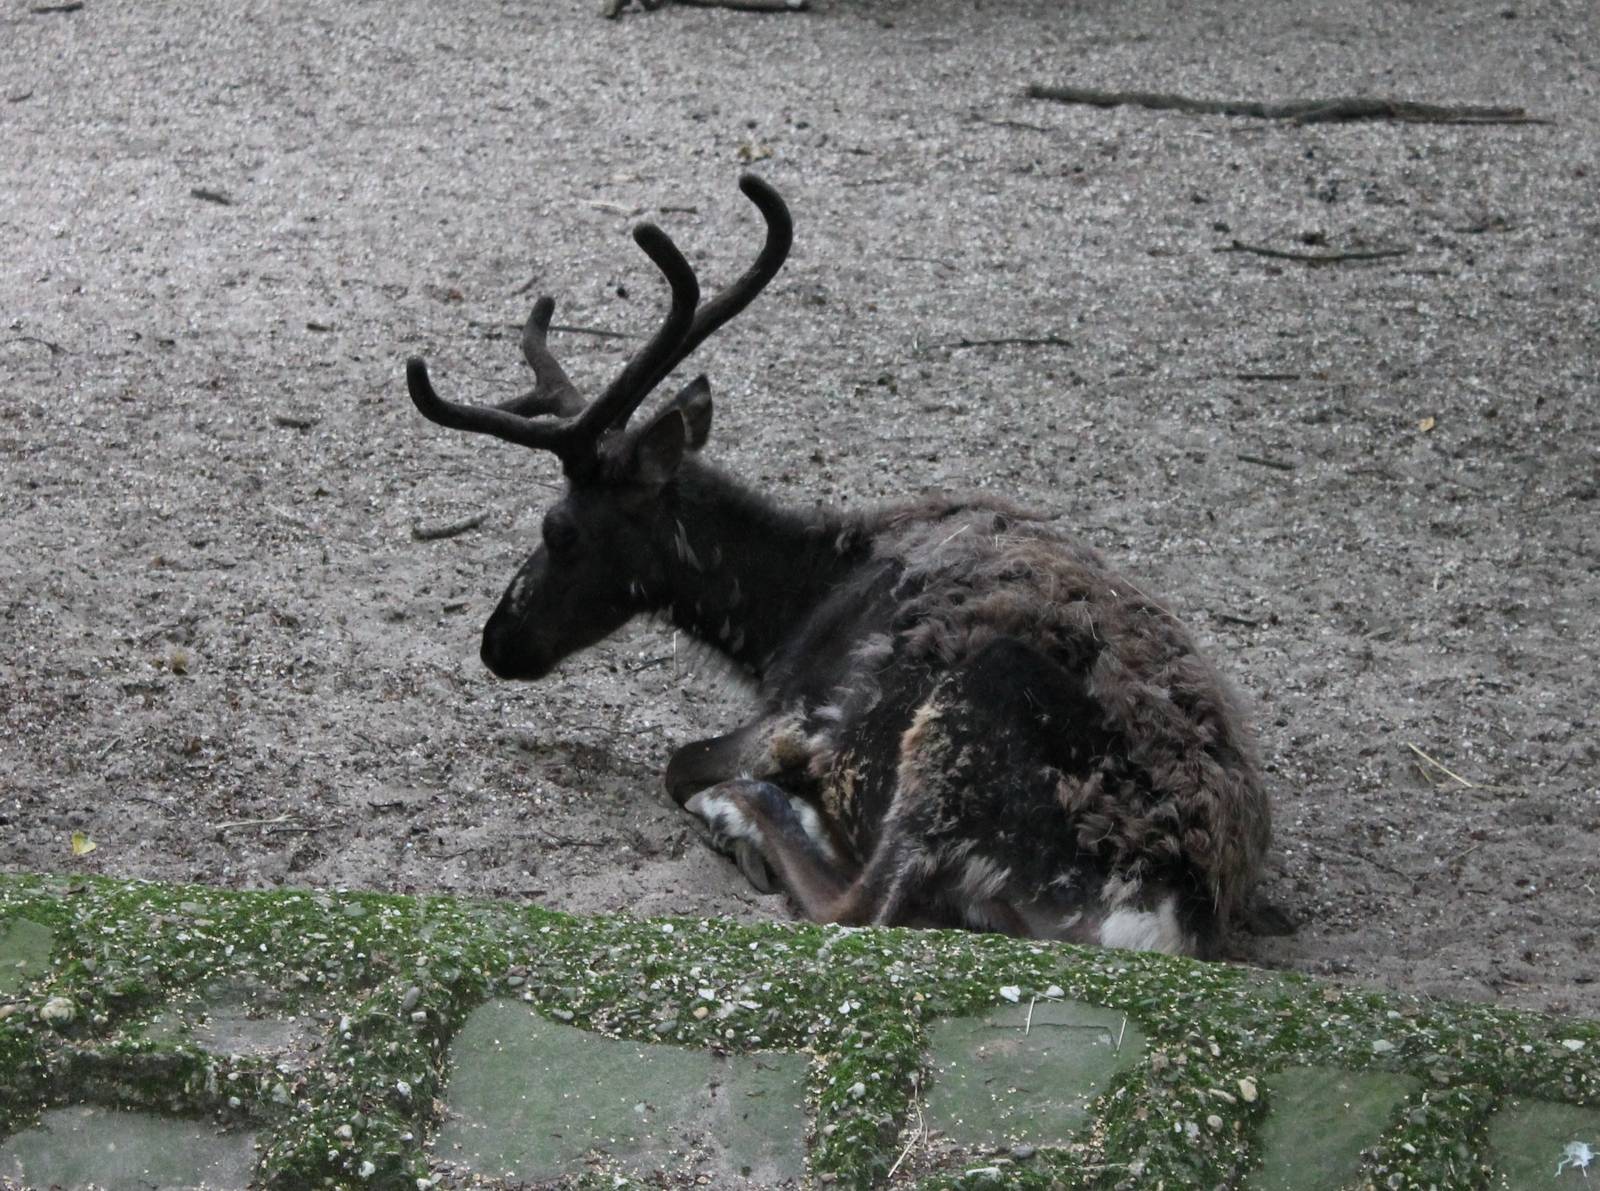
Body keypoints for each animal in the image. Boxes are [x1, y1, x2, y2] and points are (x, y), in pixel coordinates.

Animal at [404, 175, 1271, 958]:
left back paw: (748, 813)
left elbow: (680, 761)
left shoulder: (805, 713)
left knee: (861, 905)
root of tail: (1152, 917)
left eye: (560, 530)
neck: (794, 607)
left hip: (960, 725)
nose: (498, 640)